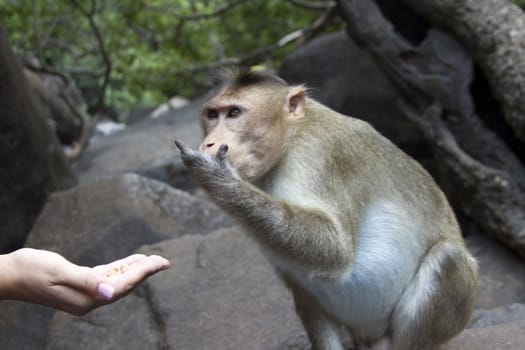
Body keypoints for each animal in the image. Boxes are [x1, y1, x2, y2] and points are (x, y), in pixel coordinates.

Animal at [174, 68, 476, 350]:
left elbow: (335, 249)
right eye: (212, 115)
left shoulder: (320, 153)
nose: (209, 142)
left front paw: (216, 177)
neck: (290, 136)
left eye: (235, 113)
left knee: (448, 258)